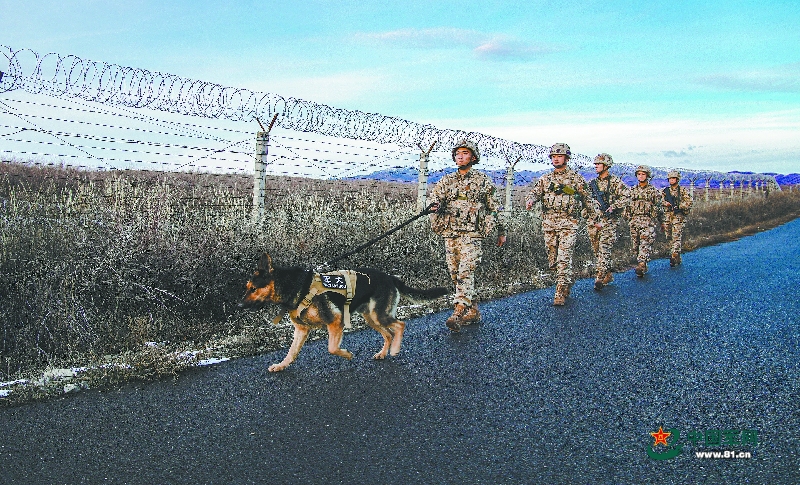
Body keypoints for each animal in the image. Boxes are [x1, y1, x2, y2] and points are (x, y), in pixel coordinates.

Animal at [238, 253, 450, 370]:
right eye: (247, 287)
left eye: (254, 289)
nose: (239, 306)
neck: (294, 287)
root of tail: (390, 277)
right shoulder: (301, 330)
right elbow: (291, 352)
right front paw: (281, 365)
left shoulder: (335, 321)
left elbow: (332, 348)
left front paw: (346, 354)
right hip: (371, 318)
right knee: (388, 334)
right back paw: (383, 353)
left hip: (379, 315)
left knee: (400, 325)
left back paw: (395, 349)